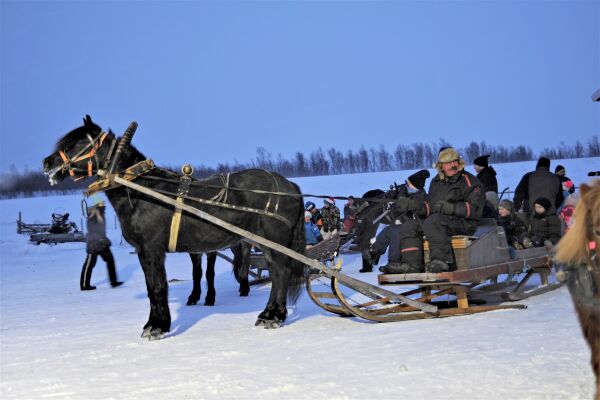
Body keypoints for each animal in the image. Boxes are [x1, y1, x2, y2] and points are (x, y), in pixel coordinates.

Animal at [43, 115, 304, 338]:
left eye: (73, 144)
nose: (47, 162)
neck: (142, 190)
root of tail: (290, 186)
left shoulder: (152, 250)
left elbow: (158, 287)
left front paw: (157, 327)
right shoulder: (144, 252)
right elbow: (152, 287)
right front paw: (155, 323)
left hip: (273, 242)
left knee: (281, 273)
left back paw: (273, 317)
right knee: (278, 274)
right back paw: (271, 313)